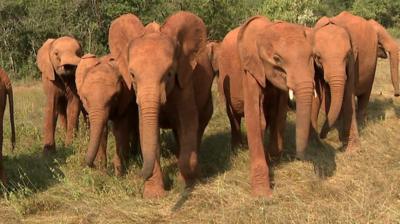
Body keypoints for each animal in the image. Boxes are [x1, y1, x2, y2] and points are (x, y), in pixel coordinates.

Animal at [106, 12, 212, 198]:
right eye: (132, 75)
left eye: (169, 74)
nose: (135, 173)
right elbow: (146, 129)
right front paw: (153, 196)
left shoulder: (185, 82)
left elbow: (188, 124)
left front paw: (186, 185)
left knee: (198, 128)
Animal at [238, 17, 316, 196]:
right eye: (277, 59)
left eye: (311, 56)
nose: (301, 158)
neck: (266, 28)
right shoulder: (251, 68)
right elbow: (255, 118)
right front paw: (262, 195)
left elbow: (279, 113)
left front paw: (273, 157)